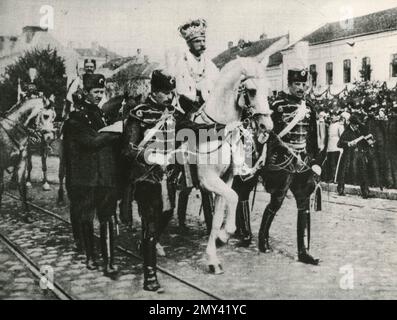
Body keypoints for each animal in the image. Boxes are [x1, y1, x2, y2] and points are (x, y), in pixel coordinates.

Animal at [191, 57, 272, 272]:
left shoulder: (225, 180)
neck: (219, 129)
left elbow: (219, 215)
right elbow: (234, 198)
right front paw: (223, 236)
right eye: (251, 90)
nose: (267, 127)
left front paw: (213, 257)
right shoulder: (208, 180)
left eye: (268, 89)